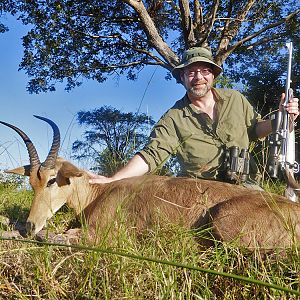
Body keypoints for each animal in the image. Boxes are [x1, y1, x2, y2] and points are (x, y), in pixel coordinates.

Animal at [0, 115, 300, 251]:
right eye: (31, 182)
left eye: (52, 179)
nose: (31, 224)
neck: (100, 192)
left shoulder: (104, 235)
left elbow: (58, 236)